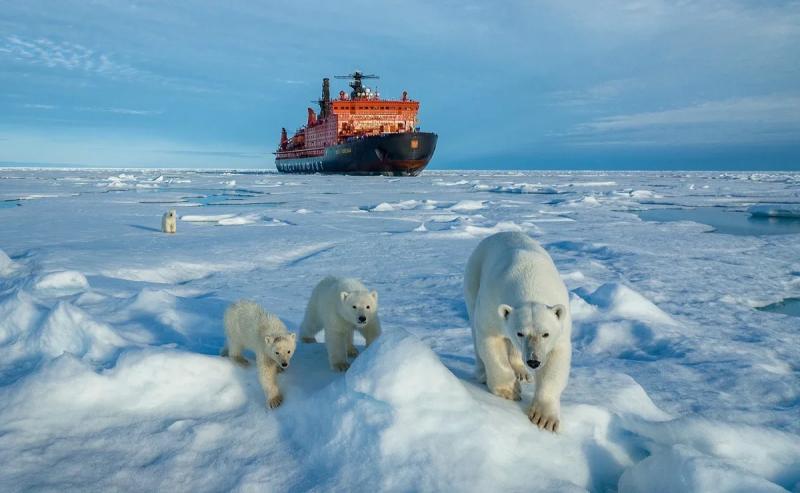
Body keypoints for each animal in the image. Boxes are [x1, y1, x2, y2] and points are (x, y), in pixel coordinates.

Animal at [466, 231, 572, 430]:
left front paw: (544, 418)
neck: (529, 283)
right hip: (474, 276)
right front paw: (509, 390)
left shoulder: (561, 325)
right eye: (520, 333)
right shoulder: (492, 301)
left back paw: (521, 371)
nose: (533, 361)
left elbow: (556, 359)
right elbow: (490, 339)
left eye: (546, 334)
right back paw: (483, 373)